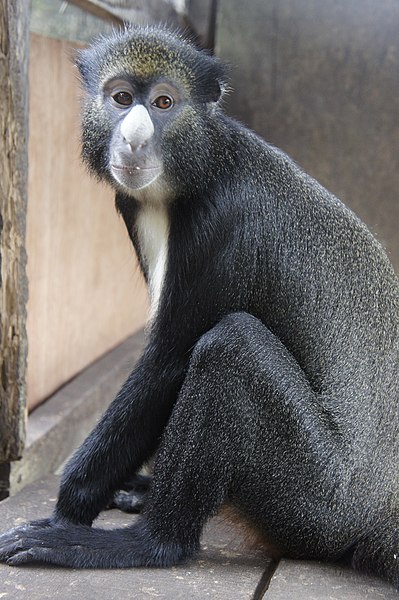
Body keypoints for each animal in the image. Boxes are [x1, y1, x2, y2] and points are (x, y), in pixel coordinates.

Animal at [0, 24, 399, 592]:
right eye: (122, 98)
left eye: (164, 103)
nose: (133, 136)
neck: (203, 164)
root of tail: (372, 516)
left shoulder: (220, 221)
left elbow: (169, 360)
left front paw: (68, 511)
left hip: (318, 503)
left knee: (231, 347)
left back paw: (148, 543)